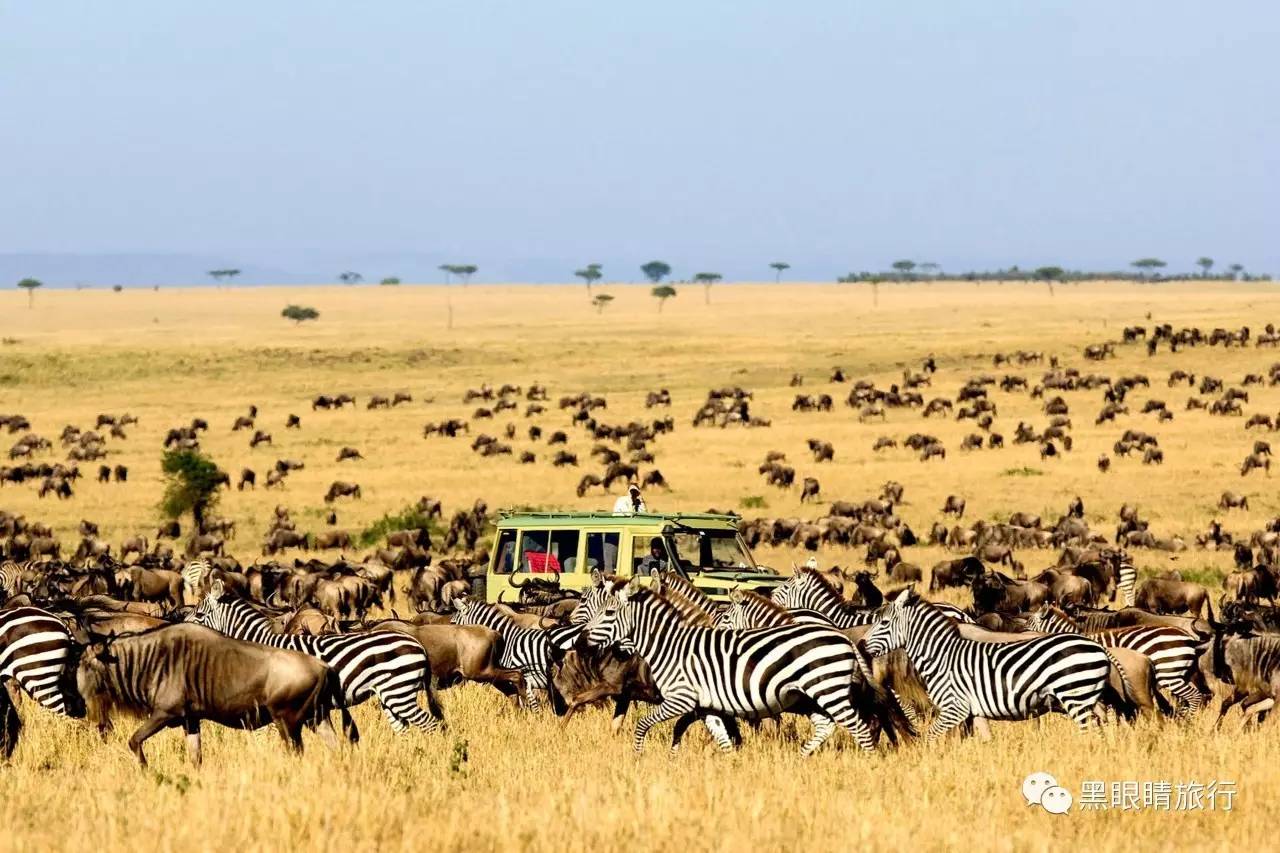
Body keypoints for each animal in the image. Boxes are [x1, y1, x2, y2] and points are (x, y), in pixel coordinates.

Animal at [586, 578, 880, 753]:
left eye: (608, 612)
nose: (583, 638)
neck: (670, 645)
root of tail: (842, 635)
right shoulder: (706, 705)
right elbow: (723, 738)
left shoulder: (681, 699)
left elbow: (643, 724)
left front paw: (638, 756)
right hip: (812, 694)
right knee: (827, 725)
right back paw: (801, 758)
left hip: (827, 689)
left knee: (860, 728)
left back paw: (867, 764)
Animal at [865, 584, 1116, 737]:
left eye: (884, 622)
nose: (862, 645)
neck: (942, 655)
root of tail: (1099, 649)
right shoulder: (972, 710)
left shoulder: (954, 707)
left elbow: (932, 737)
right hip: (1086, 697)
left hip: (1075, 696)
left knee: (1092, 729)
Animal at [1018, 604, 1208, 712]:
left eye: (1029, 623)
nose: (1019, 633)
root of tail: (1190, 638)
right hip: (1184, 674)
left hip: (1169, 674)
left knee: (1195, 696)